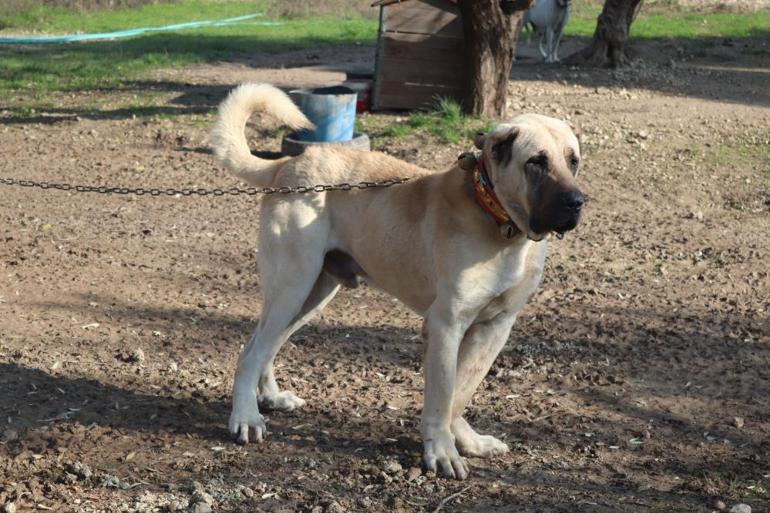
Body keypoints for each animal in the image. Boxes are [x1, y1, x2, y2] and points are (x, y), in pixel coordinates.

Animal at [210, 84, 584, 480]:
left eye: (572, 160)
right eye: (536, 162)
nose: (577, 202)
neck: (497, 219)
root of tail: (287, 164)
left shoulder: (495, 327)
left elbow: (461, 392)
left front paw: (466, 441)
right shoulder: (445, 325)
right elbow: (443, 395)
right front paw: (441, 451)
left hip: (312, 294)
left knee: (265, 347)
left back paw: (270, 398)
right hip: (292, 286)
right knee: (250, 352)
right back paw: (245, 417)